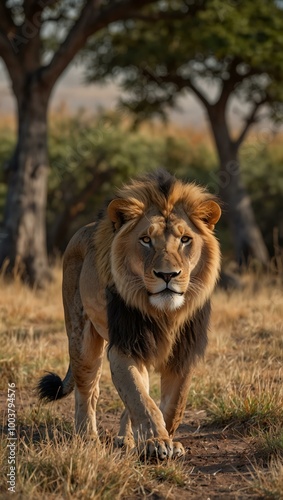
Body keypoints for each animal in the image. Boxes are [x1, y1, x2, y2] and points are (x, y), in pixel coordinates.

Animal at [37, 170, 223, 458]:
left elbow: (172, 404)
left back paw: (127, 439)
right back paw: (87, 438)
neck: (165, 313)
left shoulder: (184, 352)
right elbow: (141, 399)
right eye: (146, 240)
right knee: (87, 389)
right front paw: (158, 442)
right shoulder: (126, 346)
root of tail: (84, 228)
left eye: (185, 240)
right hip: (81, 339)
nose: (167, 275)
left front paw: (163, 440)